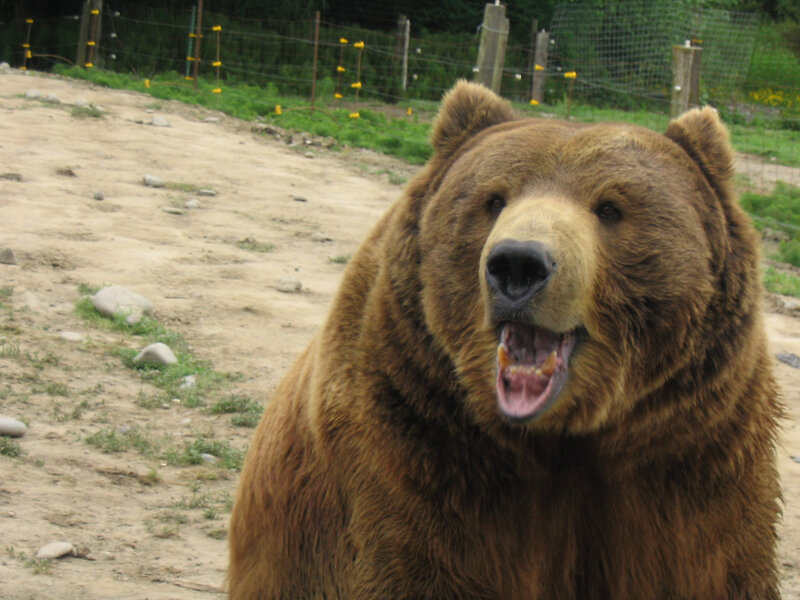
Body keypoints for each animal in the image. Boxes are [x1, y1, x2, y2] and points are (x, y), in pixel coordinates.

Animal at [228, 81, 781, 599]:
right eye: (493, 199)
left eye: (610, 207)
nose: (518, 263)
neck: (558, 435)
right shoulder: (412, 446)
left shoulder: (692, 455)